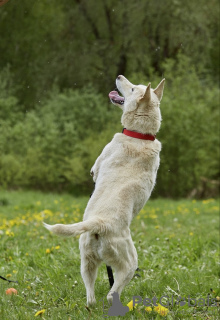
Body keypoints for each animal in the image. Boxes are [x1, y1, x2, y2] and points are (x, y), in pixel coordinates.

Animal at [43, 74, 165, 304]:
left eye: (132, 88)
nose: (119, 76)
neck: (140, 135)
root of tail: (98, 223)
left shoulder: (97, 165)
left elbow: (94, 170)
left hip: (128, 263)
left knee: (111, 293)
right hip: (87, 260)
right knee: (91, 298)